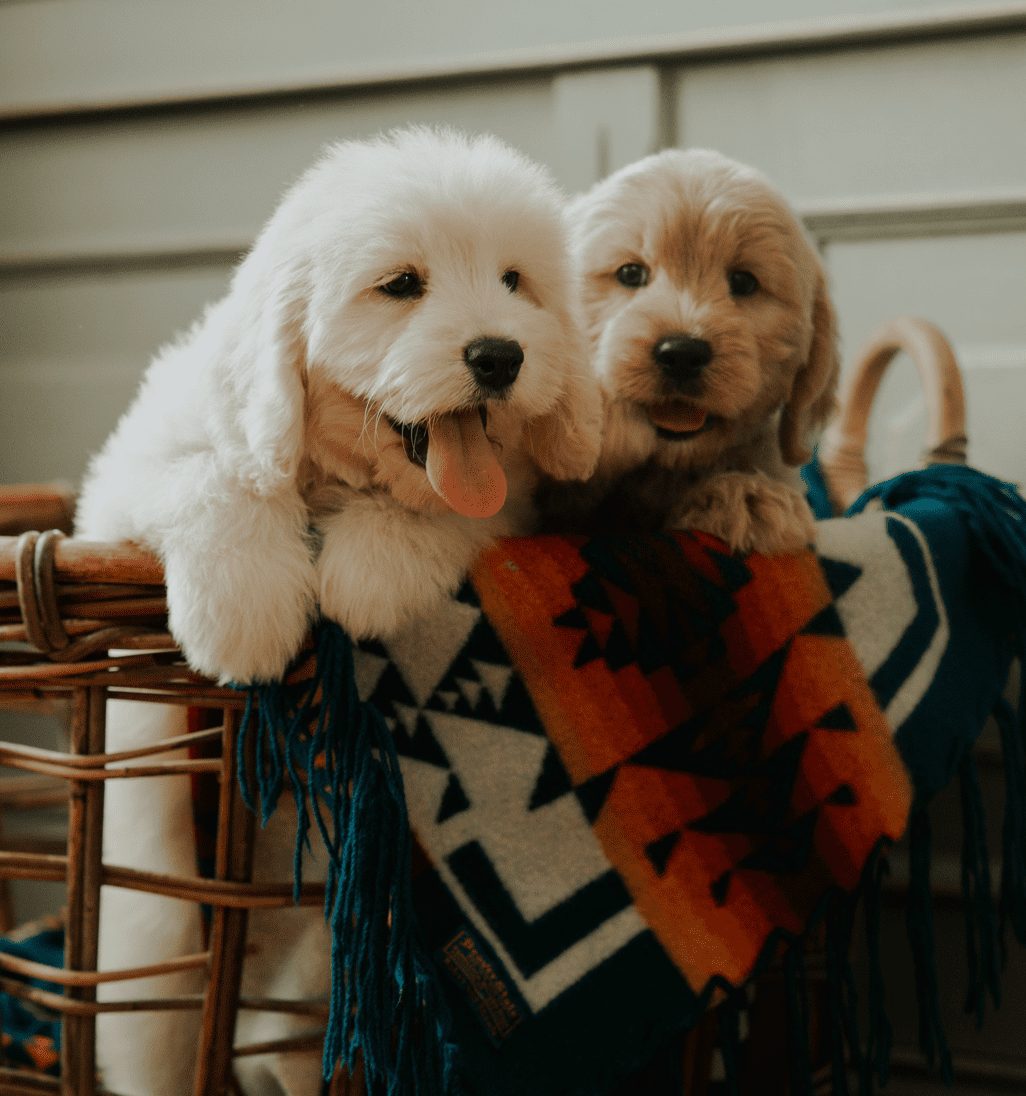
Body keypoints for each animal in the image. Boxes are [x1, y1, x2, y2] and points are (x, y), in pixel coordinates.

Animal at [78, 128, 600, 683]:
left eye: (513, 281)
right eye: (401, 284)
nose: (500, 357)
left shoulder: (509, 500)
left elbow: (447, 510)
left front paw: (369, 572)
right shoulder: (126, 478)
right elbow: (214, 479)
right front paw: (246, 618)